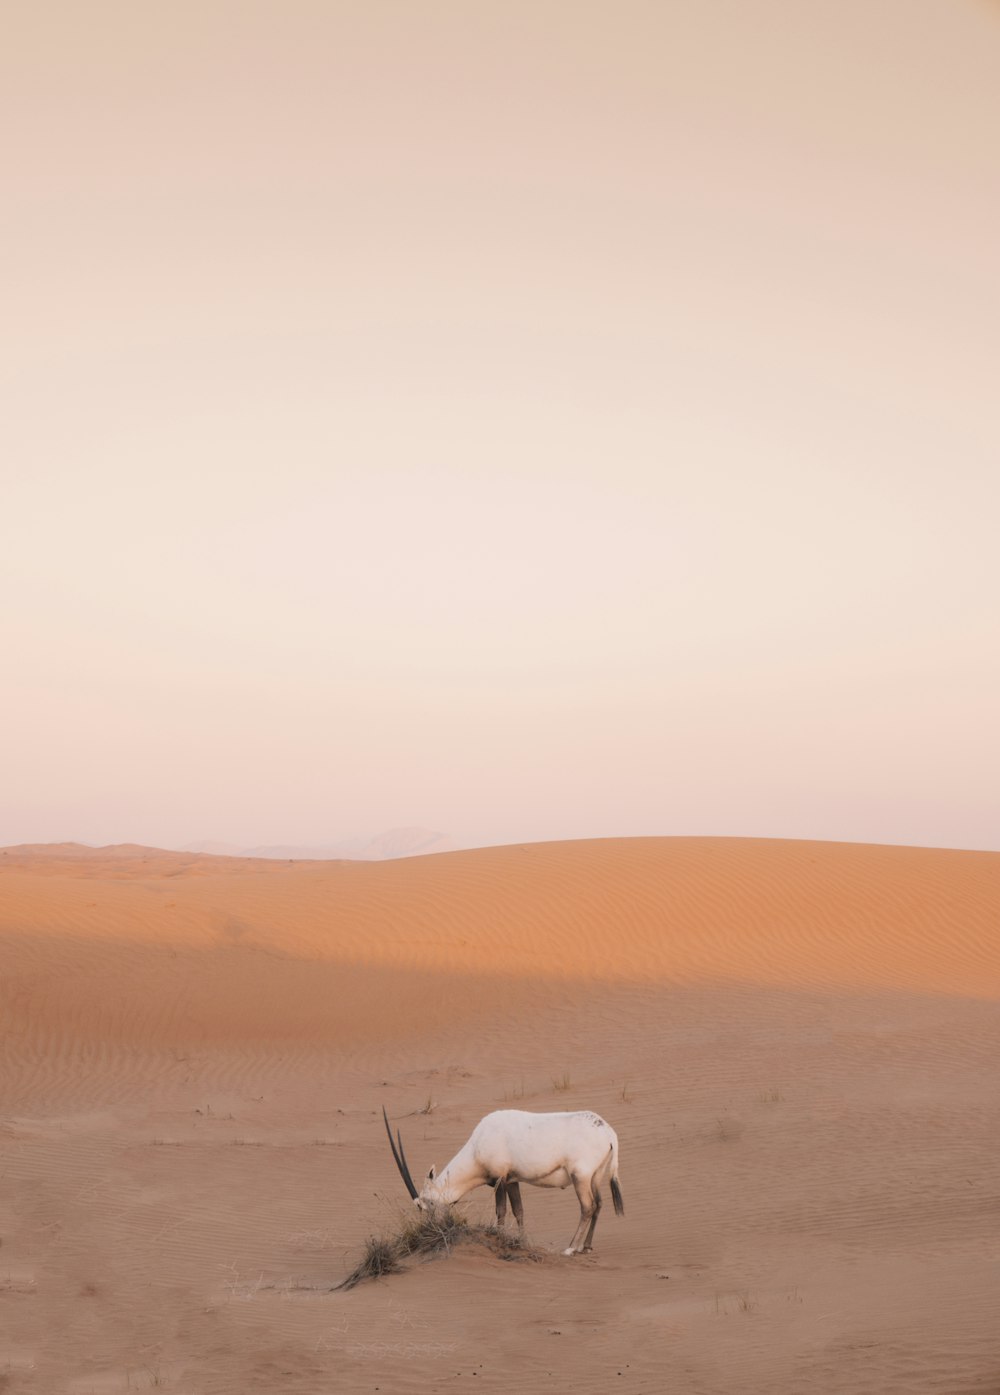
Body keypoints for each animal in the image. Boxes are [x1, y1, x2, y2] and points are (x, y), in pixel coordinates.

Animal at [379, 1104, 619, 1261]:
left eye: (425, 1203)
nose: (430, 1228)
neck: (477, 1146)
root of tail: (608, 1132)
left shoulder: (500, 1180)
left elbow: (501, 1210)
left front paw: (500, 1239)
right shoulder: (513, 1180)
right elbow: (519, 1211)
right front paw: (522, 1242)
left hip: (581, 1177)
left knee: (587, 1207)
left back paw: (571, 1249)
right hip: (595, 1177)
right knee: (599, 1204)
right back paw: (586, 1247)